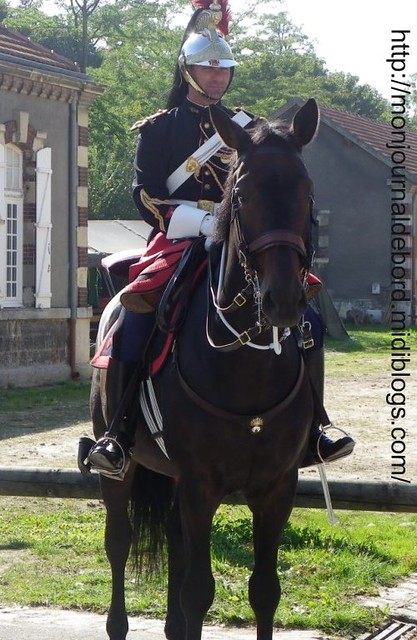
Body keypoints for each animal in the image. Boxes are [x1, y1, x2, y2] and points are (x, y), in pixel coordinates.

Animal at [89, 100, 318, 640]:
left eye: (306, 193)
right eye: (242, 195)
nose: (283, 302)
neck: (246, 361)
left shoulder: (277, 488)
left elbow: (265, 590)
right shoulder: (200, 484)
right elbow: (198, 592)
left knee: (173, 543)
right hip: (119, 468)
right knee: (120, 540)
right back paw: (117, 624)